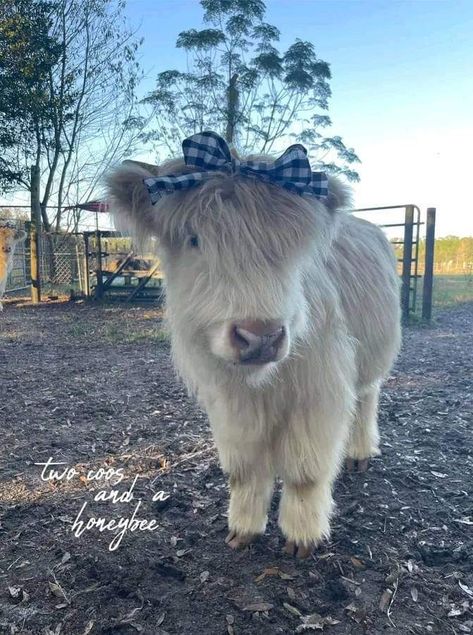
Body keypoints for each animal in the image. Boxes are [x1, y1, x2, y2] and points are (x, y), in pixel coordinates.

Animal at [106, 133, 398, 556]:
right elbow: (244, 470)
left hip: (373, 359)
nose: (260, 336)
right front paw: (243, 529)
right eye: (194, 239)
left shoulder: (319, 394)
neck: (261, 382)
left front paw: (301, 537)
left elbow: (306, 473)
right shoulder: (229, 403)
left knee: (367, 400)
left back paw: (360, 453)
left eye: (293, 245)